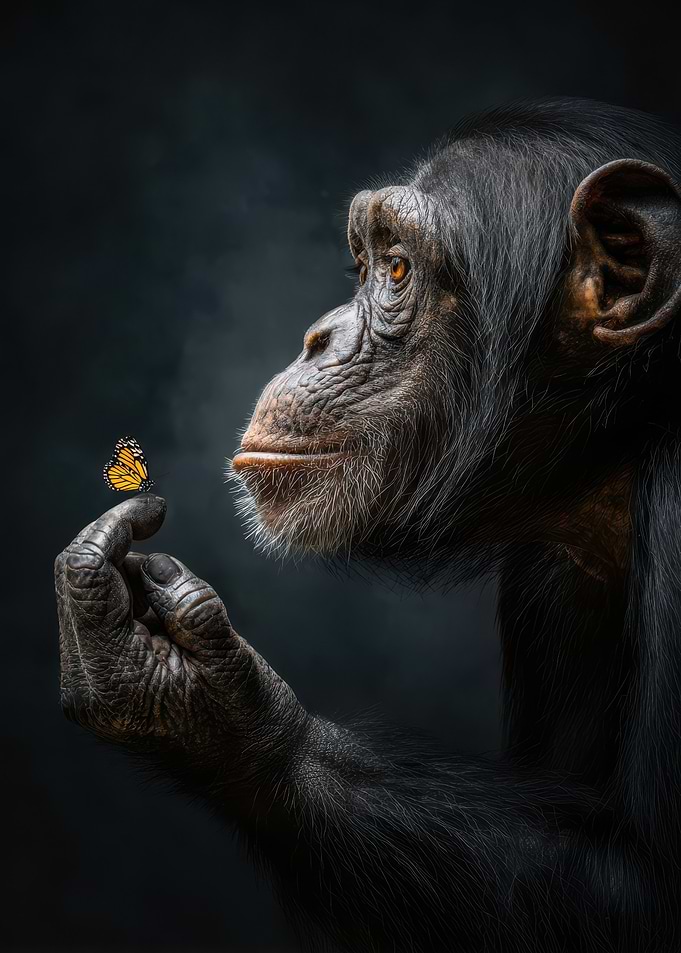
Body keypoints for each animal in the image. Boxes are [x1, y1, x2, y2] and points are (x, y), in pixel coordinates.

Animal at [55, 99, 681, 952]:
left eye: (397, 270)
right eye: (366, 262)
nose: (316, 336)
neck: (624, 432)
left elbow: (642, 891)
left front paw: (211, 707)